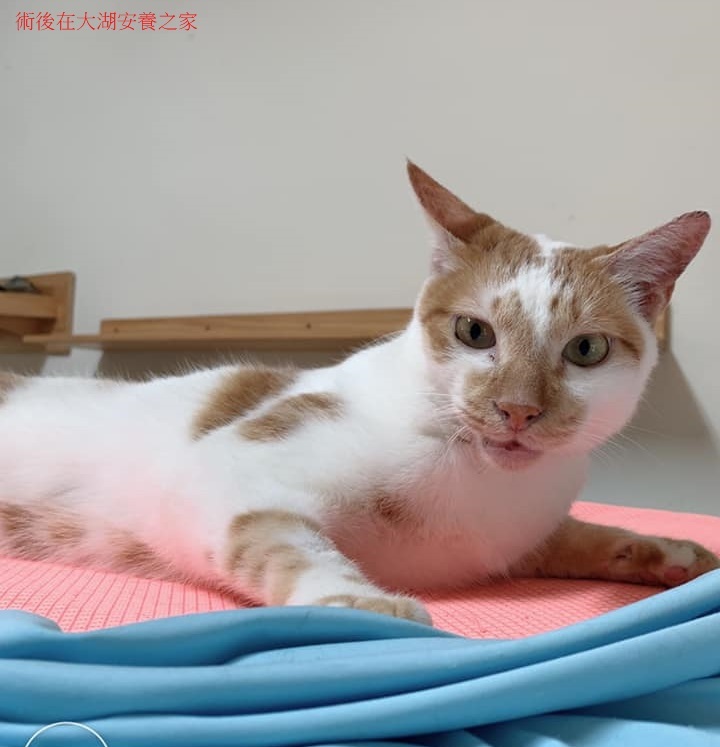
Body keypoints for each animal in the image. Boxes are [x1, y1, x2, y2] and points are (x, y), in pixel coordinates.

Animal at [0, 162, 717, 626]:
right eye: (474, 331)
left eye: (586, 350)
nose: (518, 409)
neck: (482, 483)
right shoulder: (225, 468)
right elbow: (285, 538)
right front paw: (360, 602)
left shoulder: (525, 533)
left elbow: (584, 533)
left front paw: (672, 551)